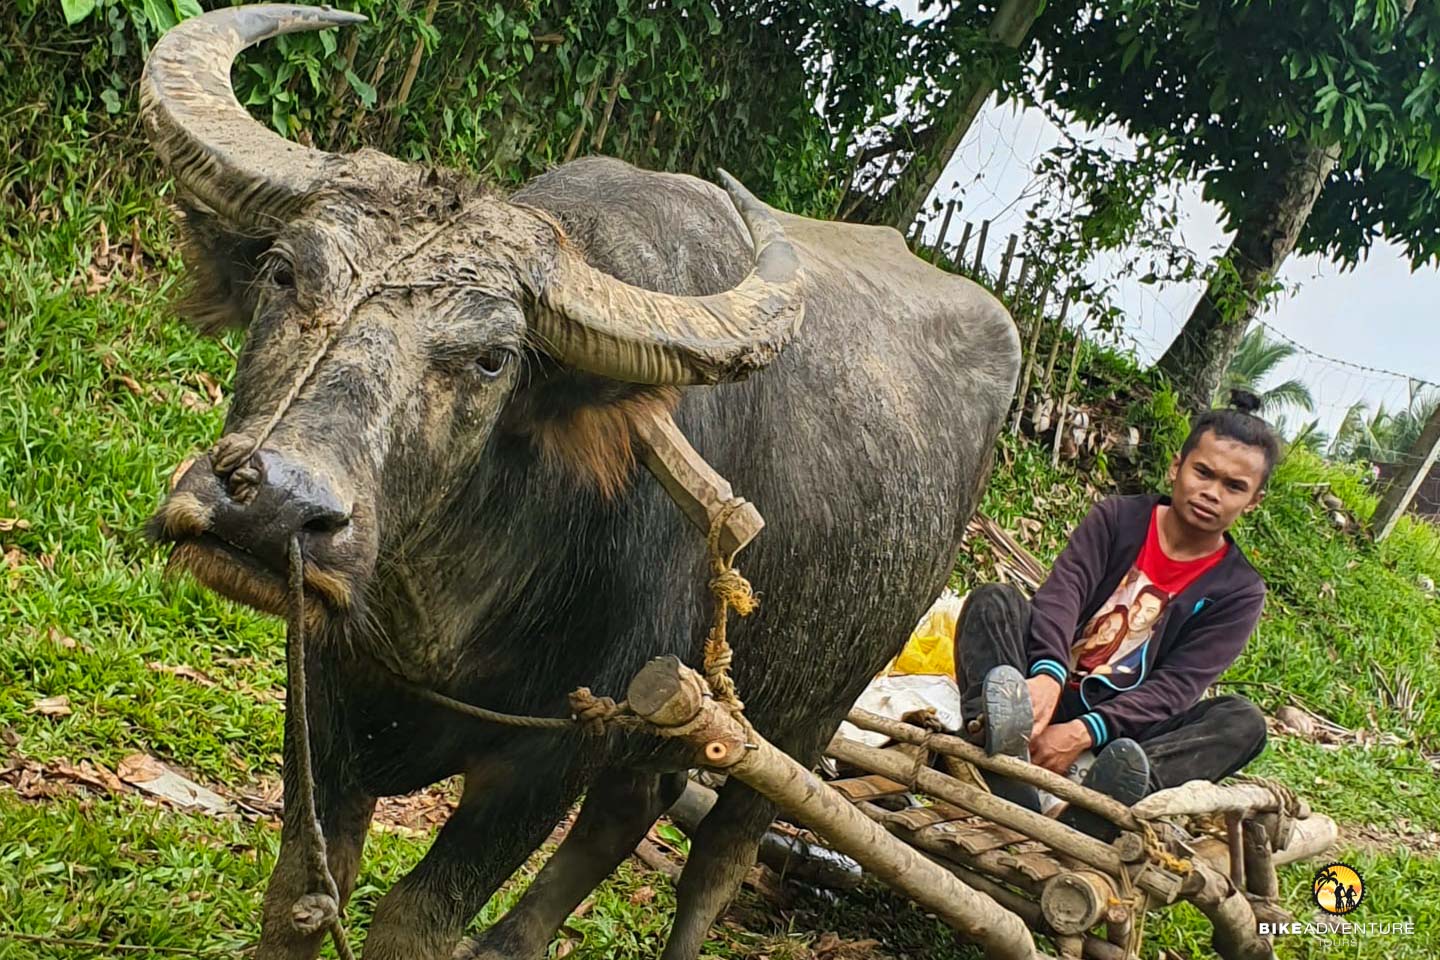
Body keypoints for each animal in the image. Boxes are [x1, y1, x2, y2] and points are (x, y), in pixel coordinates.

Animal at [142, 6, 1020, 960]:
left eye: (492, 359)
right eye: (284, 271)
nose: (274, 507)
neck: (436, 614)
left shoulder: (551, 756)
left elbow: (415, 919)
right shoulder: (328, 692)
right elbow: (303, 891)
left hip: (805, 715)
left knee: (717, 858)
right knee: (632, 810)